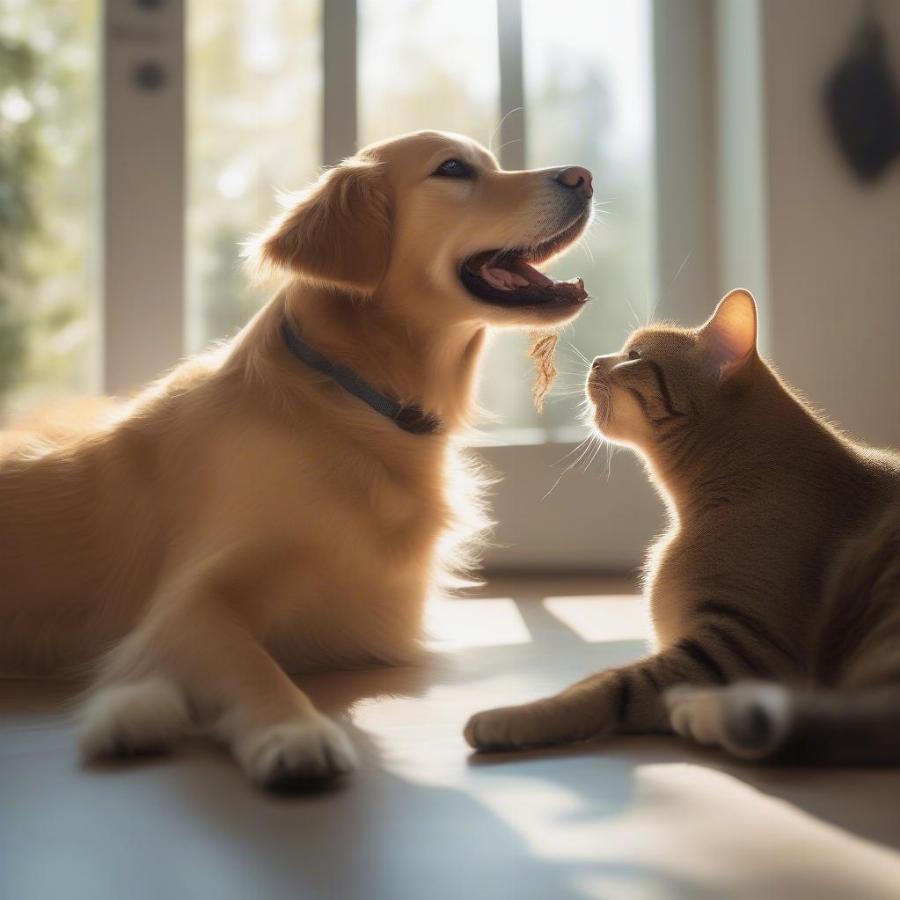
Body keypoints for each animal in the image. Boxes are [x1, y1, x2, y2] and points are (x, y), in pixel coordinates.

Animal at [0, 132, 596, 788]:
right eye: (453, 169)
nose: (584, 176)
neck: (352, 403)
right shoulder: (185, 605)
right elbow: (250, 666)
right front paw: (293, 732)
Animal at [468, 292, 896, 764]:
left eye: (635, 356)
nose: (597, 361)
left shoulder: (741, 648)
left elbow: (604, 685)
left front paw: (513, 717)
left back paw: (705, 713)